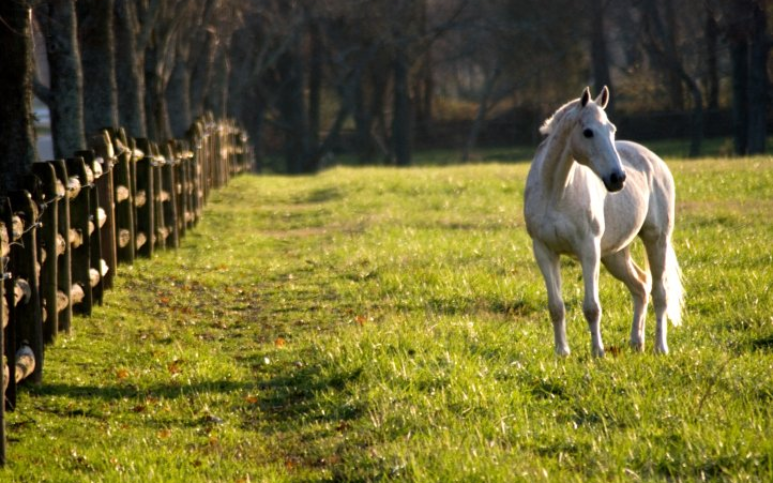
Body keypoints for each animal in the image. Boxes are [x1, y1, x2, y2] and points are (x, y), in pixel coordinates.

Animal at [523, 86, 684, 357]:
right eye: (588, 132)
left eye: (612, 129)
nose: (618, 178)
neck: (555, 192)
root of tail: (655, 161)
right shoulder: (544, 251)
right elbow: (556, 306)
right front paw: (562, 352)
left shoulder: (588, 250)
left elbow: (592, 307)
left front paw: (597, 352)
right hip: (615, 255)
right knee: (641, 286)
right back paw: (636, 342)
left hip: (656, 239)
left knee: (659, 293)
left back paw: (660, 347)